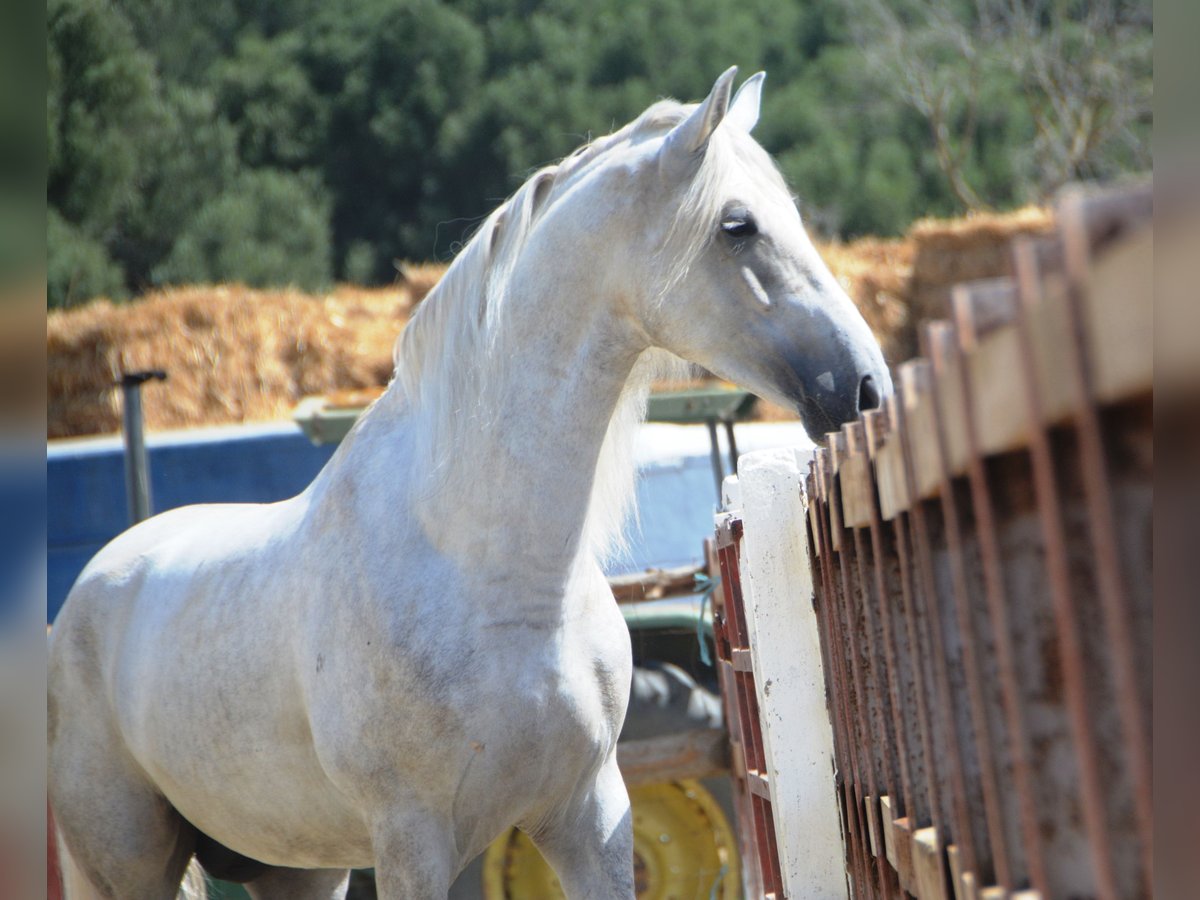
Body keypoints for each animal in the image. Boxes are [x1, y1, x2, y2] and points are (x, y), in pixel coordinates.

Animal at [49, 70, 892, 900]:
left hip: (299, 869)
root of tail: (86, 593)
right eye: (737, 225)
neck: (496, 581)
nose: (866, 387)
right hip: (128, 864)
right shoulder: (412, 842)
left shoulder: (590, 814)